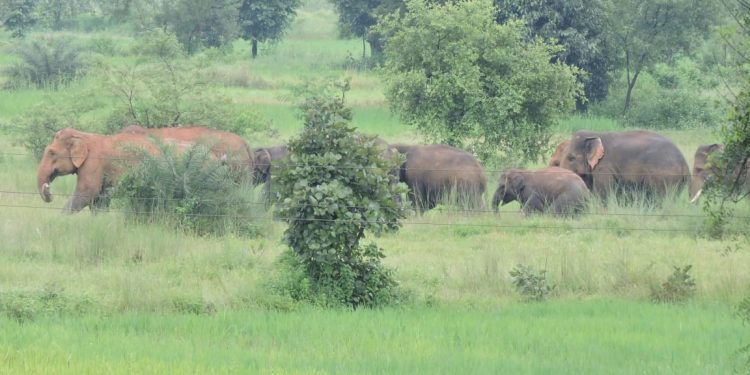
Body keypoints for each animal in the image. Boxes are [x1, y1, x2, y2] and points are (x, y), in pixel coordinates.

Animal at [37, 128, 187, 213]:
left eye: (51, 152)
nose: (49, 192)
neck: (83, 136)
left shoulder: (94, 162)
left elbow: (88, 192)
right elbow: (99, 199)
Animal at [560, 131, 692, 204]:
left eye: (571, 158)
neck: (595, 134)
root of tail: (684, 163)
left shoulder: (604, 167)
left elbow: (602, 192)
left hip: (664, 176)